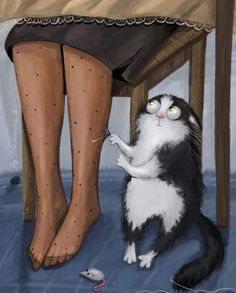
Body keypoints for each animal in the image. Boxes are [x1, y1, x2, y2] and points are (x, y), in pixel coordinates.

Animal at [109, 94, 224, 288]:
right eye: (152, 104)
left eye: (172, 110)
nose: (160, 115)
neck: (157, 136)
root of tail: (156, 213)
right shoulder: (140, 148)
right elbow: (132, 150)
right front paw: (117, 140)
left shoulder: (169, 157)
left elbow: (145, 170)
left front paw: (124, 163)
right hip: (133, 206)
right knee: (132, 231)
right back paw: (131, 253)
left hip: (177, 213)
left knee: (167, 238)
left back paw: (147, 258)